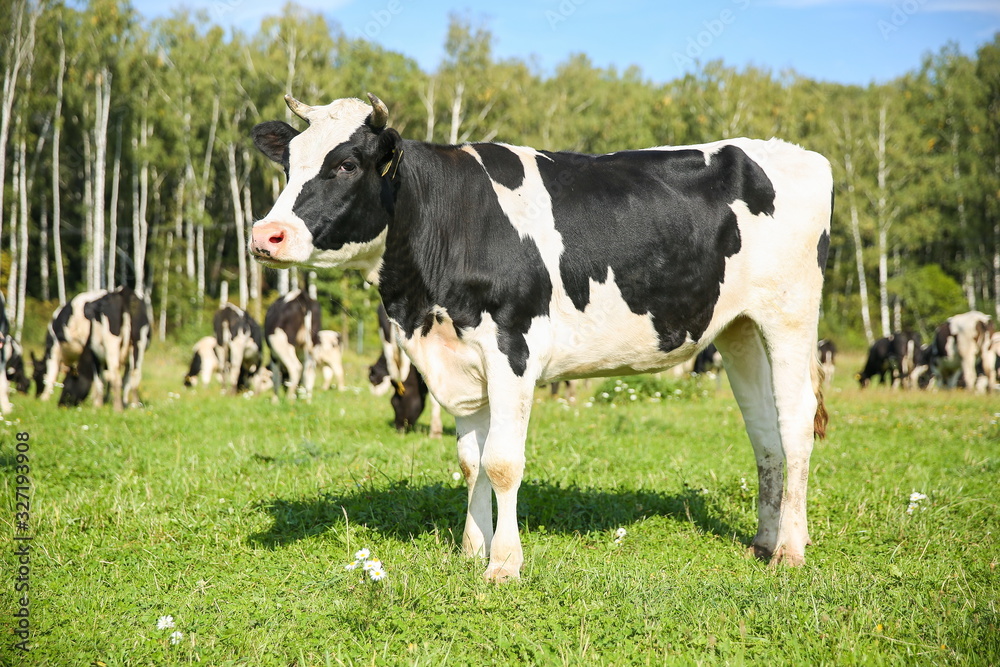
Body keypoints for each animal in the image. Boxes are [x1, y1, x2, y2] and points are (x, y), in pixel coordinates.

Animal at [252, 92, 836, 580]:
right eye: (288, 164)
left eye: (346, 164)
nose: (265, 234)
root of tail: (798, 154)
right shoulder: (461, 358)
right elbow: (470, 460)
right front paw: (471, 549)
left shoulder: (512, 346)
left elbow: (502, 462)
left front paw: (503, 563)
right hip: (739, 328)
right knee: (763, 430)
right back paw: (763, 542)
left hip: (790, 316)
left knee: (795, 423)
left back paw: (790, 551)